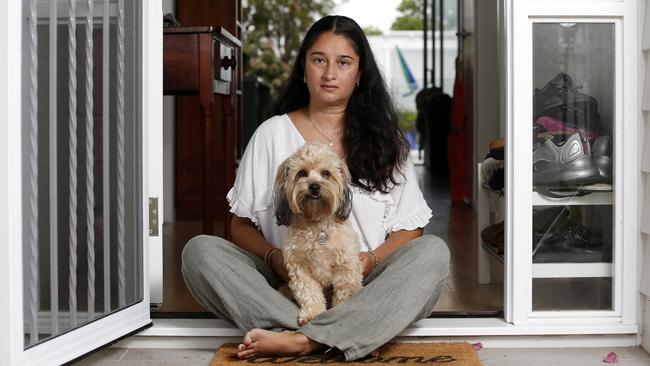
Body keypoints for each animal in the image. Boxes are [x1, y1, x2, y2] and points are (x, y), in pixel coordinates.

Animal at [272, 144, 364, 326]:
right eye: (302, 173)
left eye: (326, 173)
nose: (314, 186)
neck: (316, 223)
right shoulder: (300, 269)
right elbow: (309, 293)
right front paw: (312, 314)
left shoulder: (346, 268)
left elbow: (343, 293)